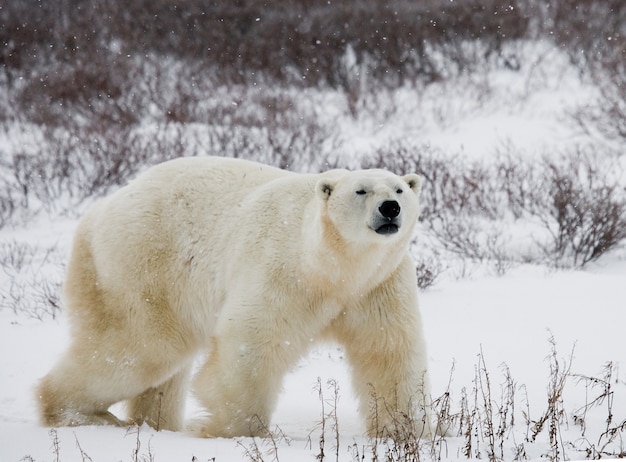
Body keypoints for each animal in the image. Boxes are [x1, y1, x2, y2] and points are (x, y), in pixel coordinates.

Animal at [35, 155, 428, 436]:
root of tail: (96, 212)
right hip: (141, 264)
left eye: (399, 190)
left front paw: (408, 430)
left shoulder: (378, 284)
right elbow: (252, 342)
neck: (332, 269)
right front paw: (229, 429)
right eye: (361, 190)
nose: (389, 208)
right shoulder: (282, 271)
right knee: (138, 348)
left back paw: (157, 423)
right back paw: (81, 414)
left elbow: (389, 351)